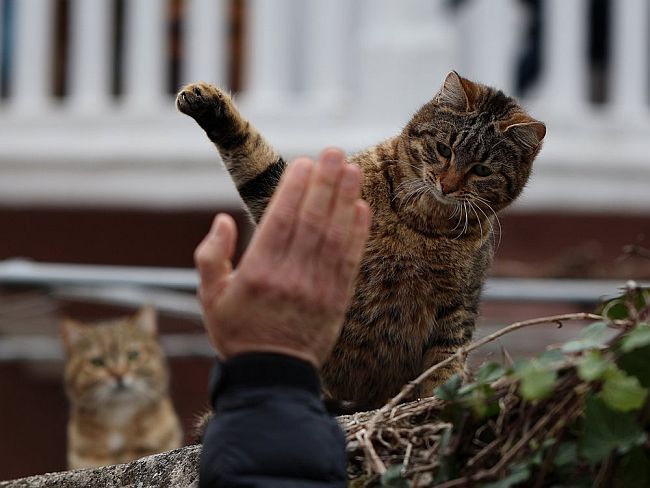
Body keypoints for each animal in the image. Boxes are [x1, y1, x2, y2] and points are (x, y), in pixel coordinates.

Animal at [176, 71, 540, 408]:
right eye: (443, 149)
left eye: (482, 170)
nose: (447, 186)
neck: (421, 223)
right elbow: (253, 155)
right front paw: (209, 104)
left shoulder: (459, 302)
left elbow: (446, 359)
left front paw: (438, 395)